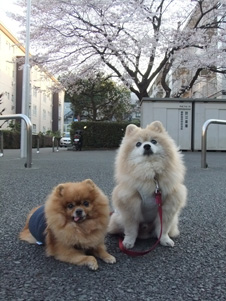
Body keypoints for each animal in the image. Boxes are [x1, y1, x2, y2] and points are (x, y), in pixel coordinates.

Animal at [107, 120, 187, 248]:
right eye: (138, 144)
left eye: (153, 141)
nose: (147, 146)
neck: (151, 174)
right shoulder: (130, 206)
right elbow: (131, 229)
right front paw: (128, 242)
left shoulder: (167, 207)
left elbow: (163, 229)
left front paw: (165, 240)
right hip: (117, 219)